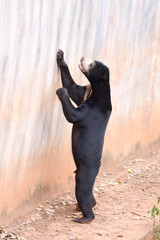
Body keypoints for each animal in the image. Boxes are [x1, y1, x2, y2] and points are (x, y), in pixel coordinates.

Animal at [56, 48, 111, 223]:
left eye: (92, 64)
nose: (82, 57)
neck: (96, 91)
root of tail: (96, 170)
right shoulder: (84, 92)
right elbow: (71, 86)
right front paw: (60, 55)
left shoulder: (90, 113)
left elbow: (73, 115)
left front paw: (61, 91)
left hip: (84, 175)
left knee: (82, 192)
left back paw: (84, 218)